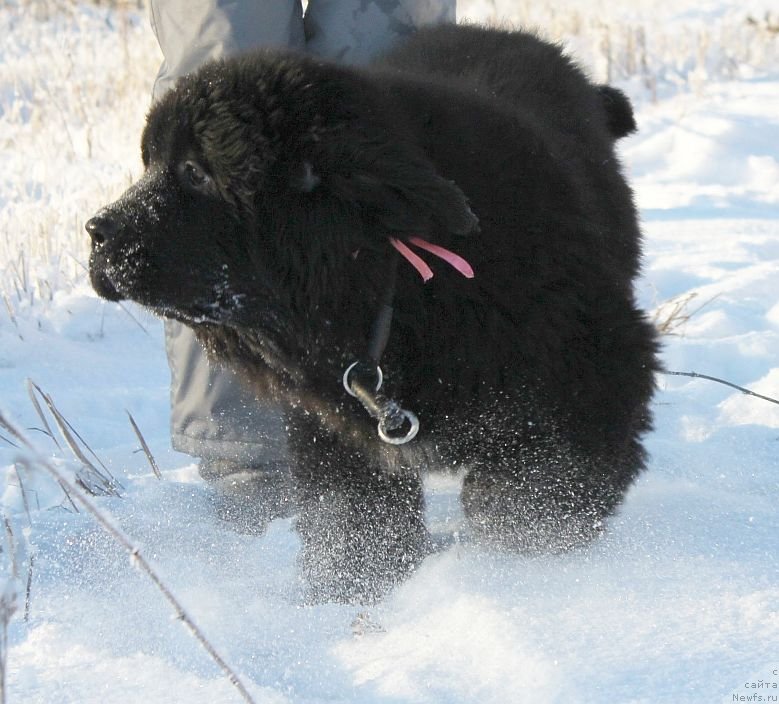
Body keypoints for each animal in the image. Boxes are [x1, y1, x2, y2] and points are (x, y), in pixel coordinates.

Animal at [87, 26, 660, 600]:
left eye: (194, 172)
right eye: (150, 162)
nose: (95, 231)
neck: (388, 281)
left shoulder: (596, 364)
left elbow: (532, 490)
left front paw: (512, 553)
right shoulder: (332, 429)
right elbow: (353, 516)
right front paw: (350, 585)